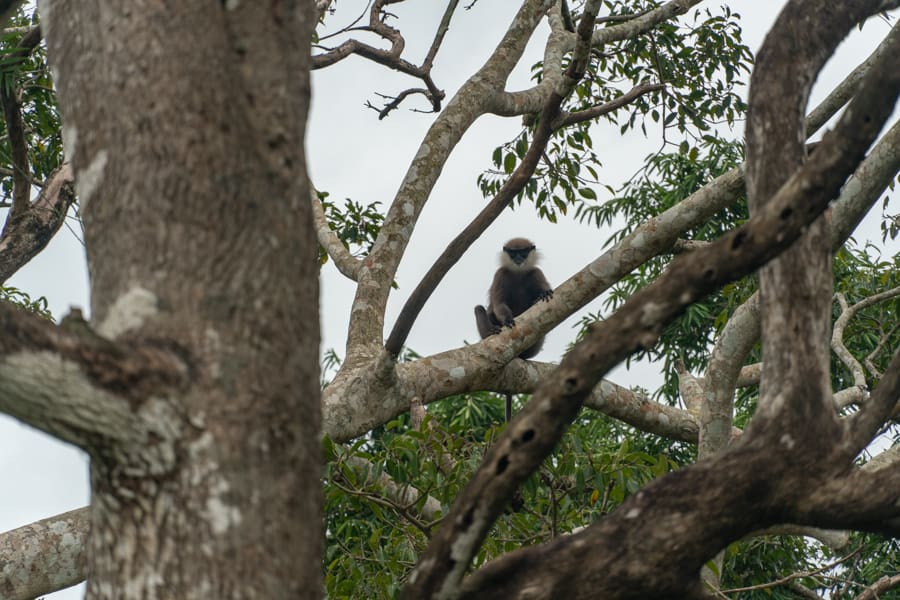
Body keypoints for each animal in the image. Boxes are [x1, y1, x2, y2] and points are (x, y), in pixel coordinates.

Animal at [474, 238, 552, 422]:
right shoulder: (500, 274)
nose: (518, 258)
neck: (518, 273)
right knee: (479, 309)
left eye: (523, 252)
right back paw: (491, 332)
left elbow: (543, 289)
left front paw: (542, 294)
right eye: (513, 253)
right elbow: (498, 305)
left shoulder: (536, 272)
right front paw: (507, 320)